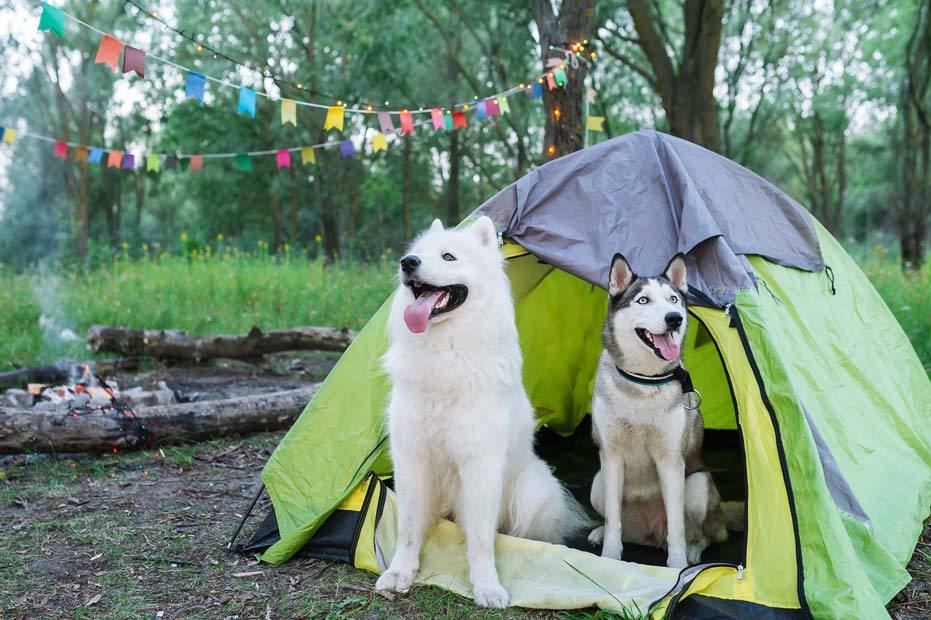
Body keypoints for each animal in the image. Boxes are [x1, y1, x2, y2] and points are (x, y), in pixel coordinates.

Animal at [374, 217, 588, 604]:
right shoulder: (412, 458)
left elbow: (481, 537)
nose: (407, 263)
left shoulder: (480, 464)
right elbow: (410, 527)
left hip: (531, 491)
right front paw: (400, 572)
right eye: (417, 253)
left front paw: (487, 586)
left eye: (448, 256)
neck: (445, 350)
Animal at [588, 252, 728, 568]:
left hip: (698, 485)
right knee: (615, 520)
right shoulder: (611, 456)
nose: (674, 318)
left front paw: (676, 565)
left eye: (673, 299)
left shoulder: (670, 460)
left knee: (704, 534)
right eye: (643, 300)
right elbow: (613, 519)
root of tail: (648, 533)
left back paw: (693, 550)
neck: (642, 381)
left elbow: (676, 526)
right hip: (597, 484)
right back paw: (600, 532)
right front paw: (610, 557)